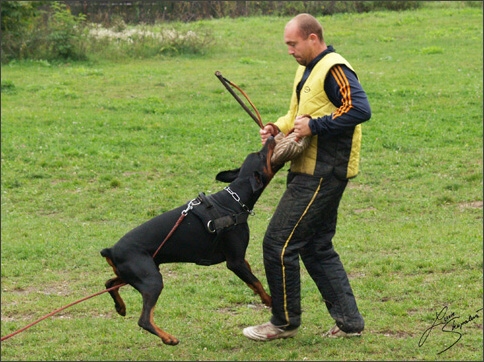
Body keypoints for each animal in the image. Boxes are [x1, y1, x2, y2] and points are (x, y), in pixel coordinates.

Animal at [100, 136, 282, 346]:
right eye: (261, 154)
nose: (271, 137)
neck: (233, 202)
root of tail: (111, 250)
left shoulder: (240, 258)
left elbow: (253, 279)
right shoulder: (234, 262)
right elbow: (256, 282)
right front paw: (270, 302)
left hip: (136, 274)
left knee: (109, 282)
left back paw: (121, 307)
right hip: (152, 280)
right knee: (144, 319)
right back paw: (168, 338)